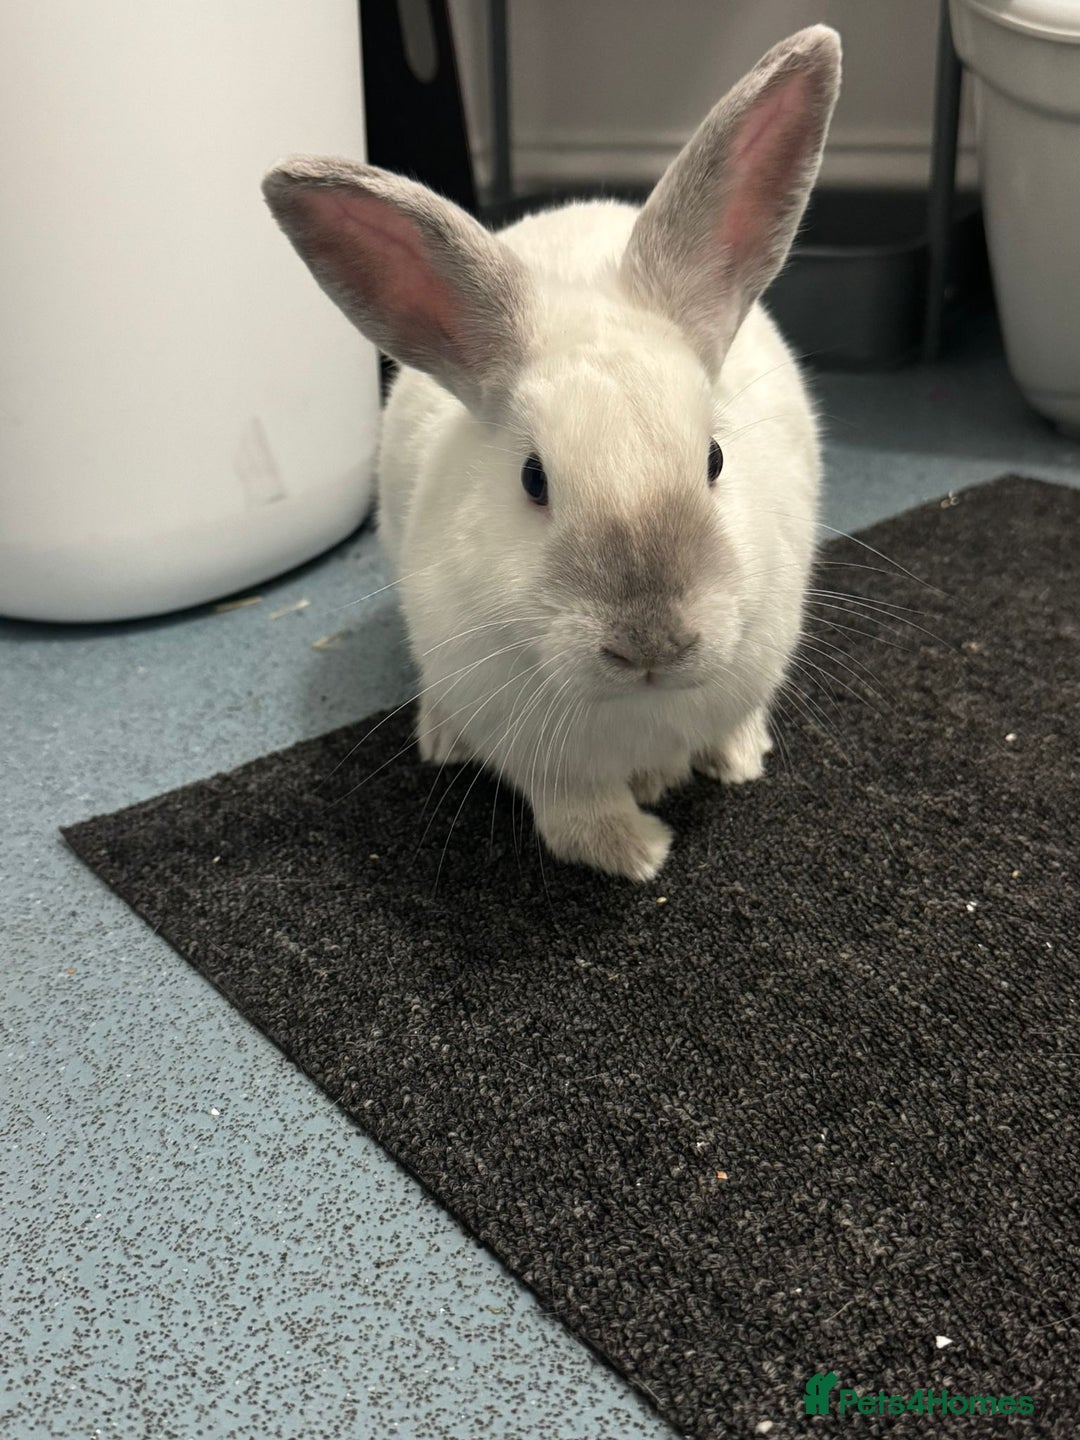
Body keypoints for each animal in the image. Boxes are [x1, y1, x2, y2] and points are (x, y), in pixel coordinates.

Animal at [262, 25, 842, 882]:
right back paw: (441, 738)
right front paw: (638, 854)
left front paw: (735, 763)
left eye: (715, 460)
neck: (638, 710)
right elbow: (577, 814)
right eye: (534, 479)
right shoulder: (544, 759)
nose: (650, 643)